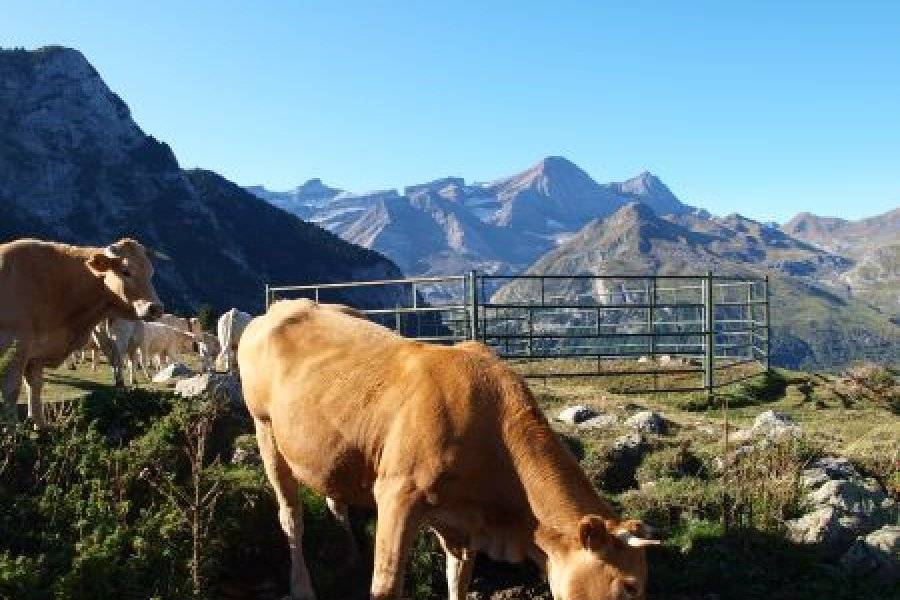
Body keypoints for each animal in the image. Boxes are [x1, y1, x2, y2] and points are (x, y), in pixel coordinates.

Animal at [0, 237, 163, 424]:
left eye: (151, 273)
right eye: (126, 271)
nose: (156, 308)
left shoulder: (36, 353)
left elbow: (35, 387)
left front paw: (39, 425)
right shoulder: (14, 346)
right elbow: (11, 392)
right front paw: (13, 428)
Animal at [237, 302, 660, 600]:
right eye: (630, 585)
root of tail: (282, 305)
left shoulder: (462, 522)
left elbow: (459, 580)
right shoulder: (397, 493)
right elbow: (386, 584)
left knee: (333, 497)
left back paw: (350, 556)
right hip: (265, 429)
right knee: (291, 517)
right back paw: (303, 586)